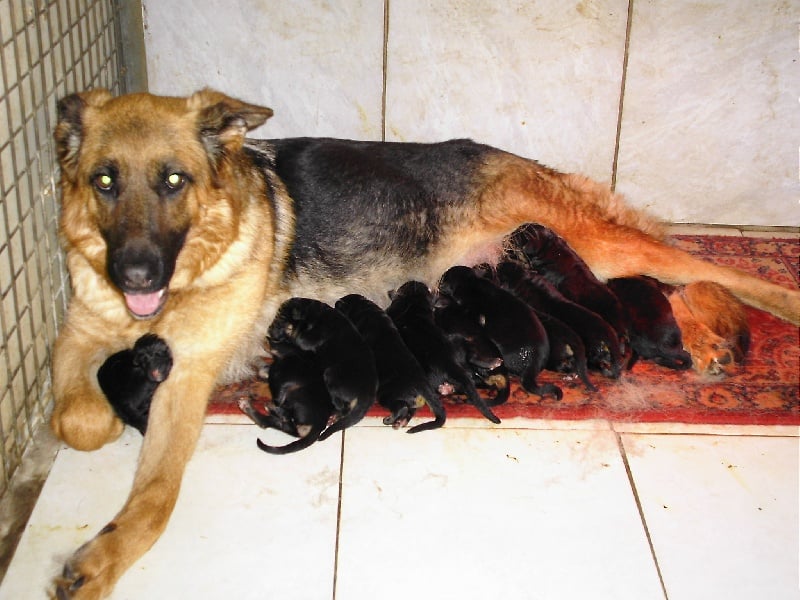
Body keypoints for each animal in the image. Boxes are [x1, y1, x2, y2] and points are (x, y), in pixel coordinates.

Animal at [266, 296, 378, 440]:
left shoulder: (309, 338)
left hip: (330, 375)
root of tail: (368, 394)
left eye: (281, 319)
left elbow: (298, 338)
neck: (311, 315)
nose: (268, 330)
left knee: (342, 407)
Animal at [332, 294, 444, 432]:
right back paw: (400, 422)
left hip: (387, 395)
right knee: (410, 409)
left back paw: (389, 419)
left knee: (402, 407)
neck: (363, 307)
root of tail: (423, 384)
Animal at [388, 280, 500, 422]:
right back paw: (492, 363)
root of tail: (447, 363)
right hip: (458, 341)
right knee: (470, 357)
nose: (414, 281)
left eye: (406, 285)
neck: (410, 302)